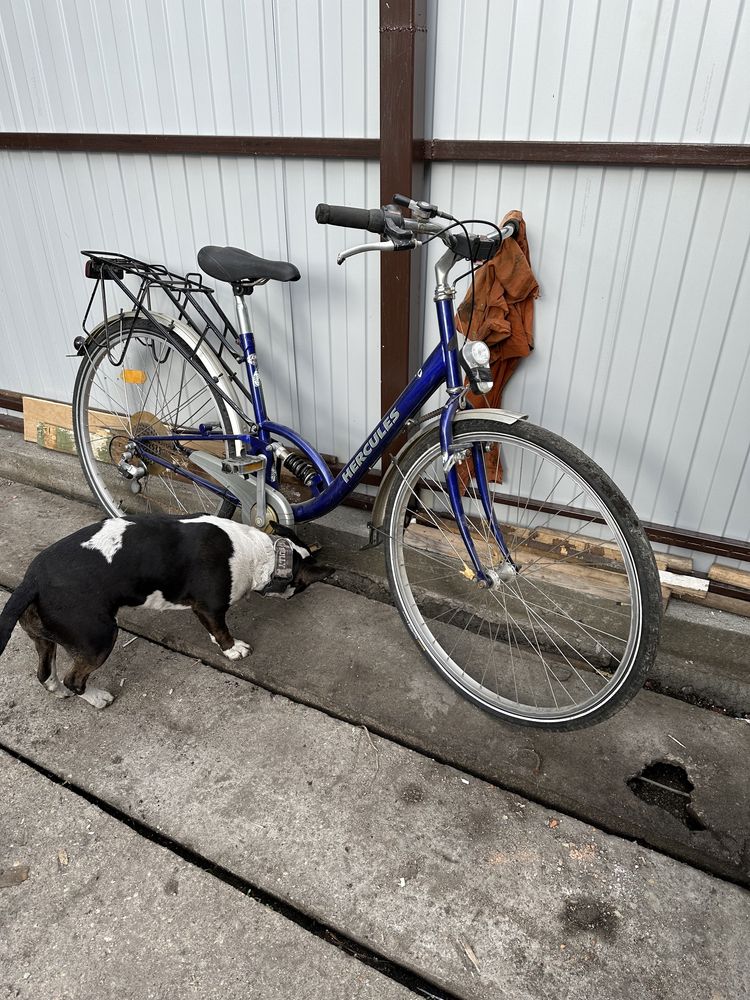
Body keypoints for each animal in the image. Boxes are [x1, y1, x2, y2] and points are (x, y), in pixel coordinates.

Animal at [0, 516, 332, 712]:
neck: (263, 553)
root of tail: (32, 581)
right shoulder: (210, 606)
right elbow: (221, 629)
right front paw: (232, 649)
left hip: (45, 637)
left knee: (45, 672)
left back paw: (57, 691)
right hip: (98, 637)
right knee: (75, 678)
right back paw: (96, 698)